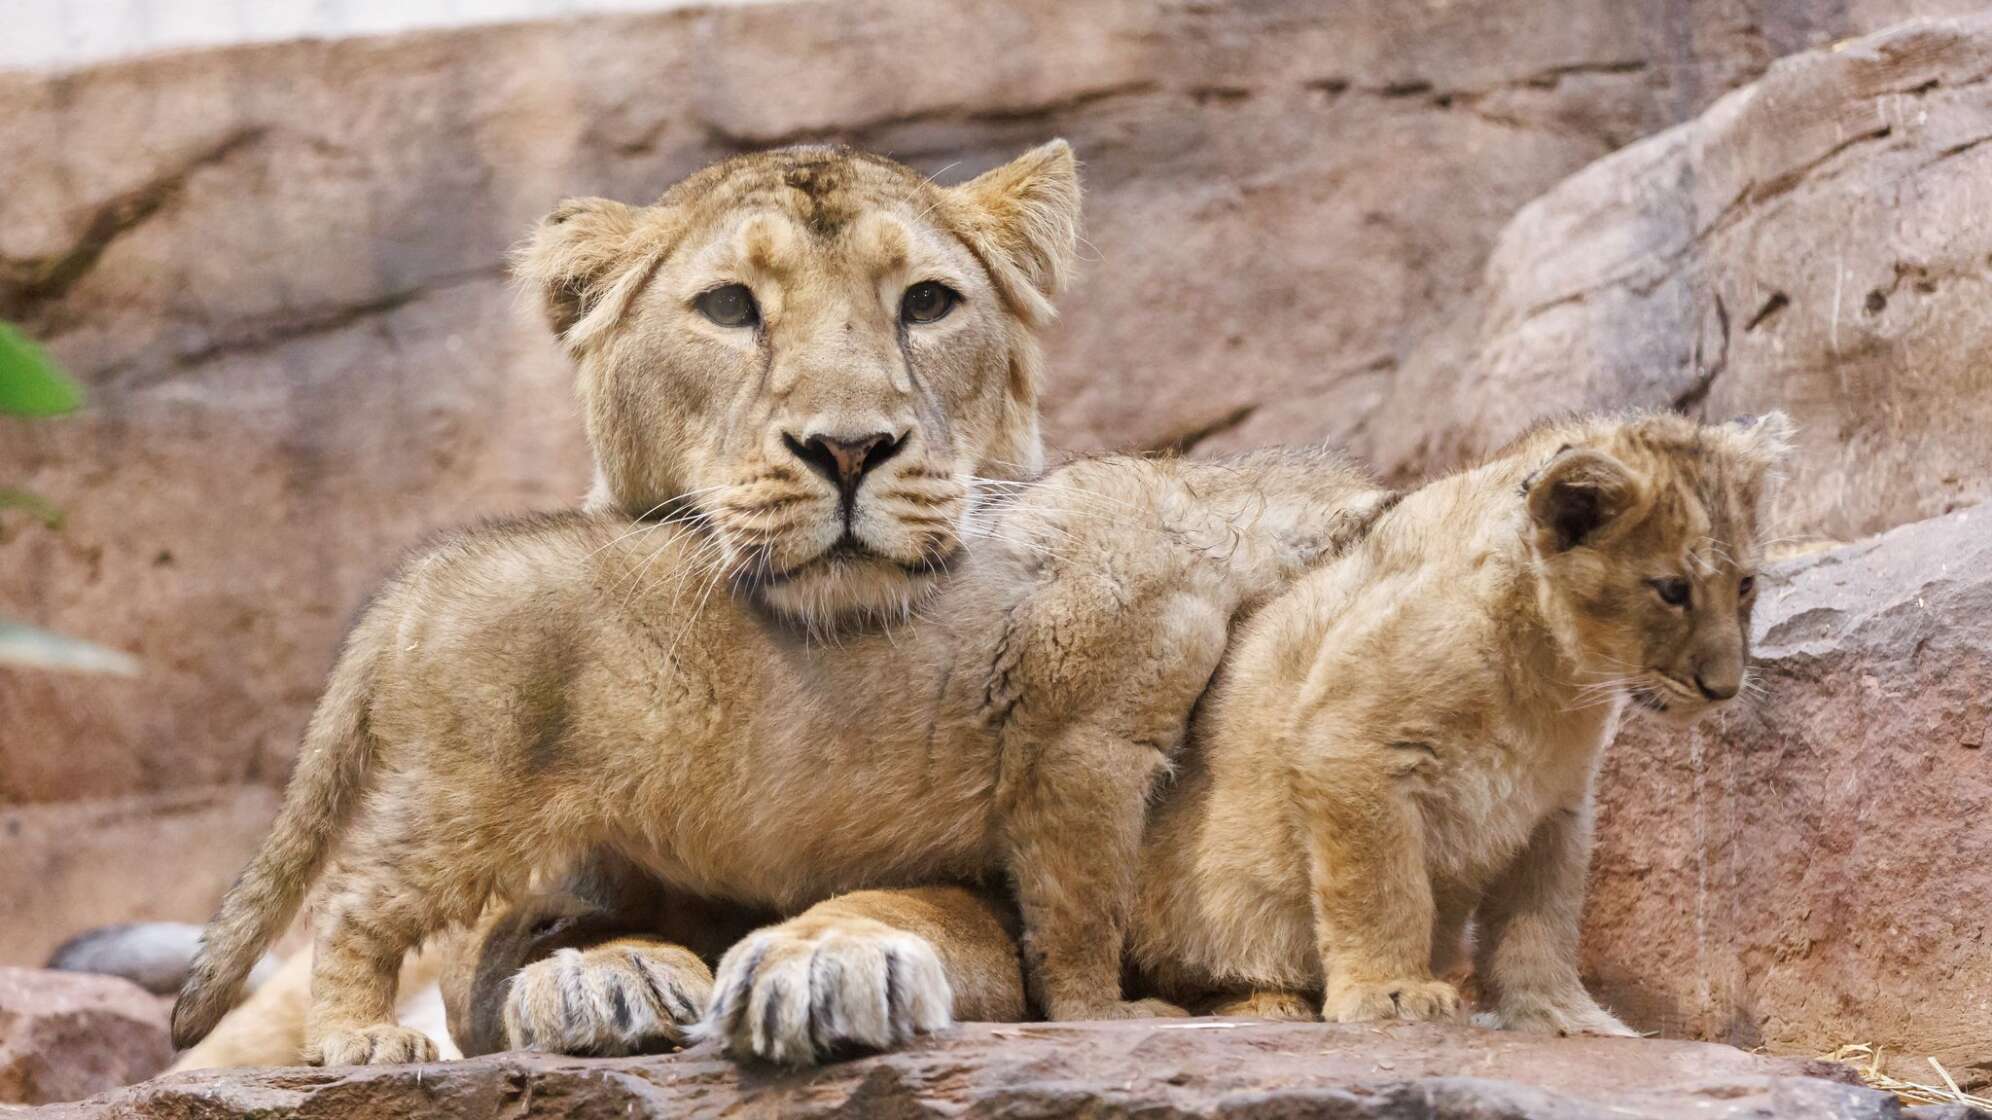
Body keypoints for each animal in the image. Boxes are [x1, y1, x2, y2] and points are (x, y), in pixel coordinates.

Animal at [168, 140, 1400, 1067]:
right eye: (726, 308)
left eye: (929, 304)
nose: (849, 449)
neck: (1220, 521)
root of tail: (419, 582)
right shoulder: (1076, 752)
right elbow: (1079, 917)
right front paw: (1117, 1014)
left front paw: (818, 965)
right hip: (462, 799)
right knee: (356, 906)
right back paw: (363, 1038)